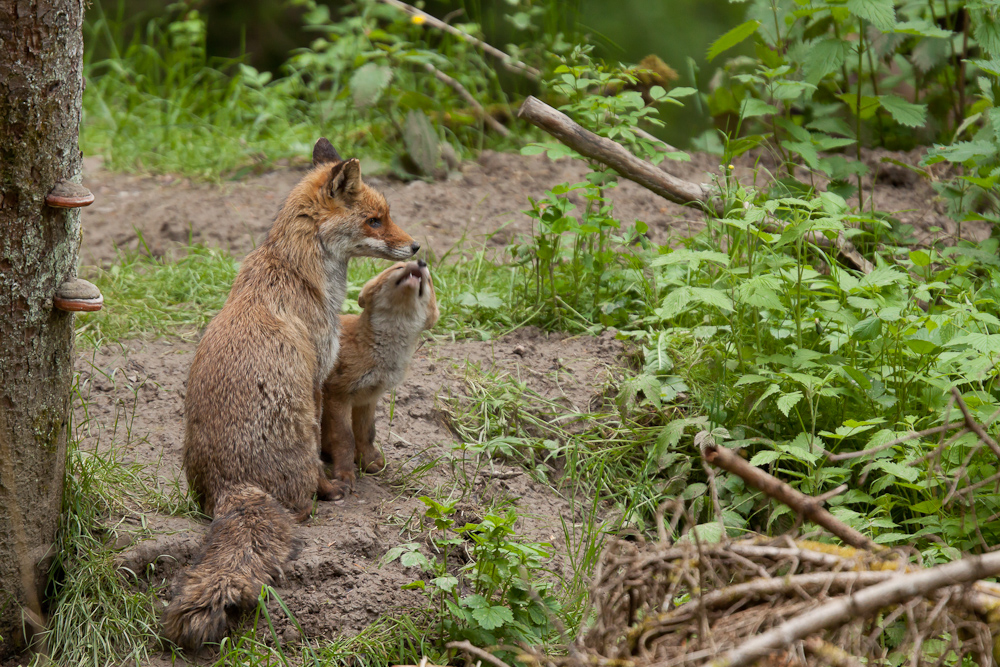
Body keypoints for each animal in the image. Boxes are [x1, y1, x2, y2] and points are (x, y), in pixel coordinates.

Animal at [161, 138, 418, 648]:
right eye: (375, 220)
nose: (416, 246)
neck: (297, 273)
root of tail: (232, 485)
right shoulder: (319, 376)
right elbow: (334, 439)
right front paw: (341, 478)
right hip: (295, 432)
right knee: (300, 507)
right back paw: (325, 495)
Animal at [322, 258, 440, 498]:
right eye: (398, 267)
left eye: (429, 280)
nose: (421, 261)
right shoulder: (338, 395)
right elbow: (345, 439)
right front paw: (345, 474)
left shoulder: (368, 397)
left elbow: (366, 434)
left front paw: (367, 462)